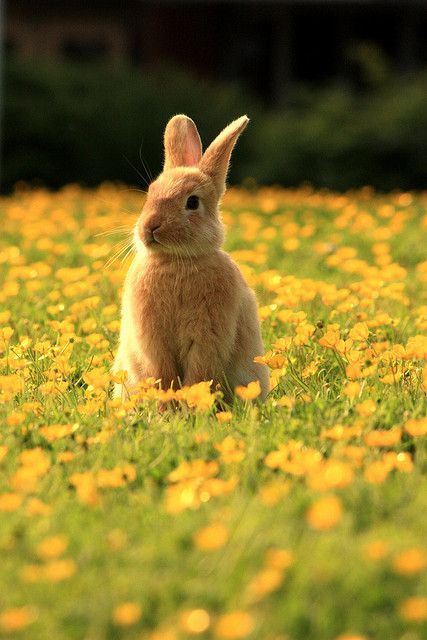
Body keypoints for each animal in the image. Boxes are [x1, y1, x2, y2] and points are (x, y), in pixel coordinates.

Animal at [112, 114, 270, 404]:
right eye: (151, 193)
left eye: (193, 202)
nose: (150, 227)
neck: (176, 261)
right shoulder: (152, 338)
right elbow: (161, 372)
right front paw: (167, 406)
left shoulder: (208, 334)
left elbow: (199, 373)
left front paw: (190, 404)